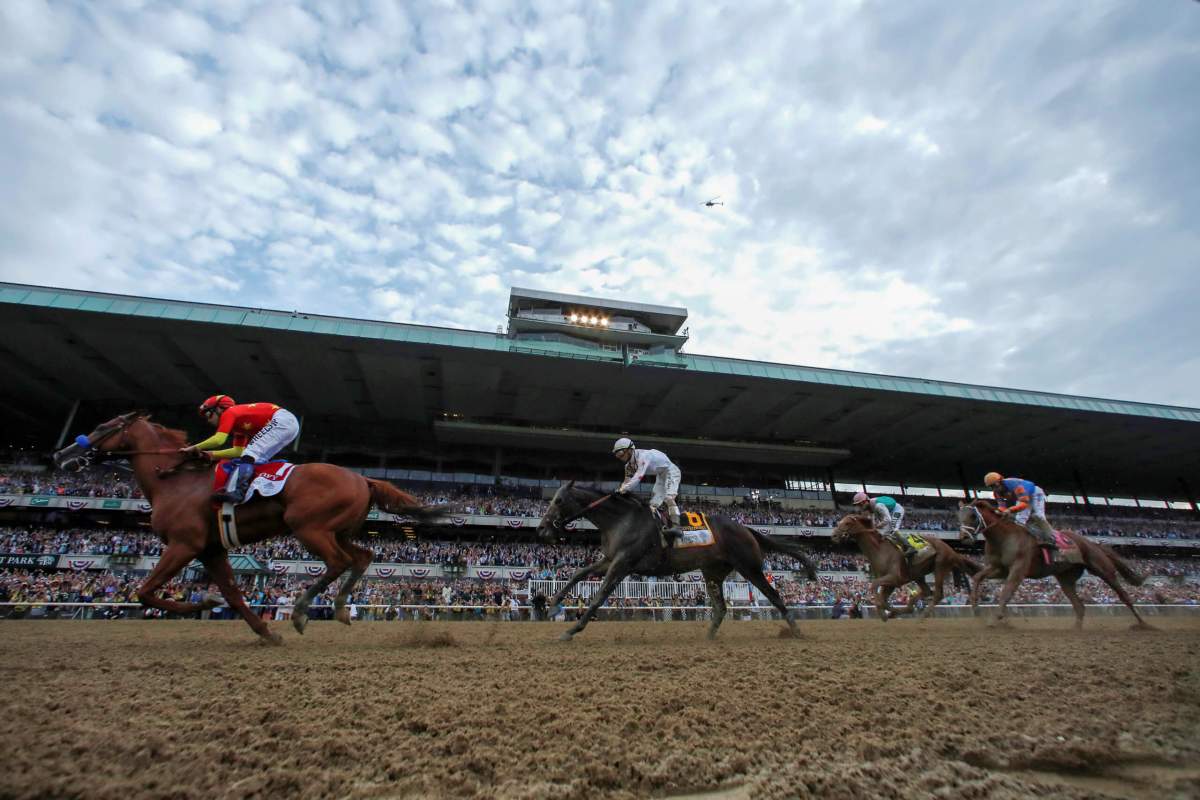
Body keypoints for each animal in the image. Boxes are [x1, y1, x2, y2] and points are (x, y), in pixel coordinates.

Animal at [54, 412, 441, 642]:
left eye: (102, 427)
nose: (61, 455)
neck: (174, 481)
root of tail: (363, 477)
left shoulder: (184, 544)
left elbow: (145, 591)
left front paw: (203, 602)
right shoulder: (211, 550)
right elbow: (233, 593)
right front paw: (264, 631)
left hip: (308, 527)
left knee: (338, 562)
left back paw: (301, 612)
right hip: (338, 529)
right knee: (361, 557)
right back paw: (339, 608)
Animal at [537, 482, 825, 642]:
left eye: (558, 500)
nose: (541, 529)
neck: (621, 520)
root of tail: (745, 528)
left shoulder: (623, 563)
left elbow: (599, 596)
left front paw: (572, 630)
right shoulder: (609, 560)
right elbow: (577, 574)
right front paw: (552, 605)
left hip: (750, 567)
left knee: (774, 596)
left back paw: (797, 631)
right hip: (712, 573)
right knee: (721, 608)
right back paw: (707, 637)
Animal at [830, 515, 979, 623]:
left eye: (847, 523)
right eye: (839, 521)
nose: (834, 536)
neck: (880, 551)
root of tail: (953, 551)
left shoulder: (895, 578)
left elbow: (874, 587)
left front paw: (886, 611)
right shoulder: (890, 583)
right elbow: (881, 595)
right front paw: (887, 612)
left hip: (940, 567)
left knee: (937, 594)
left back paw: (921, 616)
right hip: (919, 574)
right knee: (926, 591)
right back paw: (908, 609)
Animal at [960, 501, 1147, 623]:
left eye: (972, 516)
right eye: (958, 516)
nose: (963, 537)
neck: (1004, 538)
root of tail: (1092, 543)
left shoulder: (1018, 569)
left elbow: (1006, 591)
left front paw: (997, 618)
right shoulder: (999, 569)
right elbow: (977, 576)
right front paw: (975, 606)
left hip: (1103, 569)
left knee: (1124, 595)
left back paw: (1143, 624)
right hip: (1066, 579)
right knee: (1079, 606)